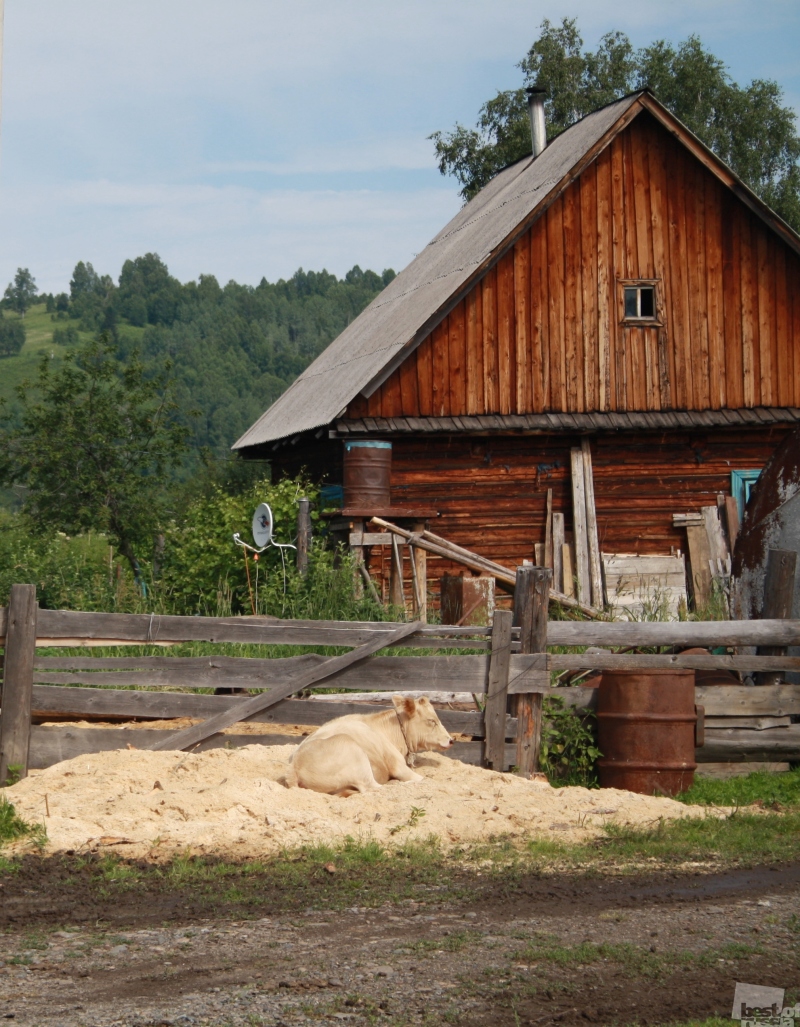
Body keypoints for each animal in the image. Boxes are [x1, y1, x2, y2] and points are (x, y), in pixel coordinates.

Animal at [285, 694, 449, 796]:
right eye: (432, 720)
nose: (451, 740)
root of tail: (294, 767)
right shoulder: (397, 766)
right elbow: (421, 779)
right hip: (356, 757)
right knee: (374, 787)